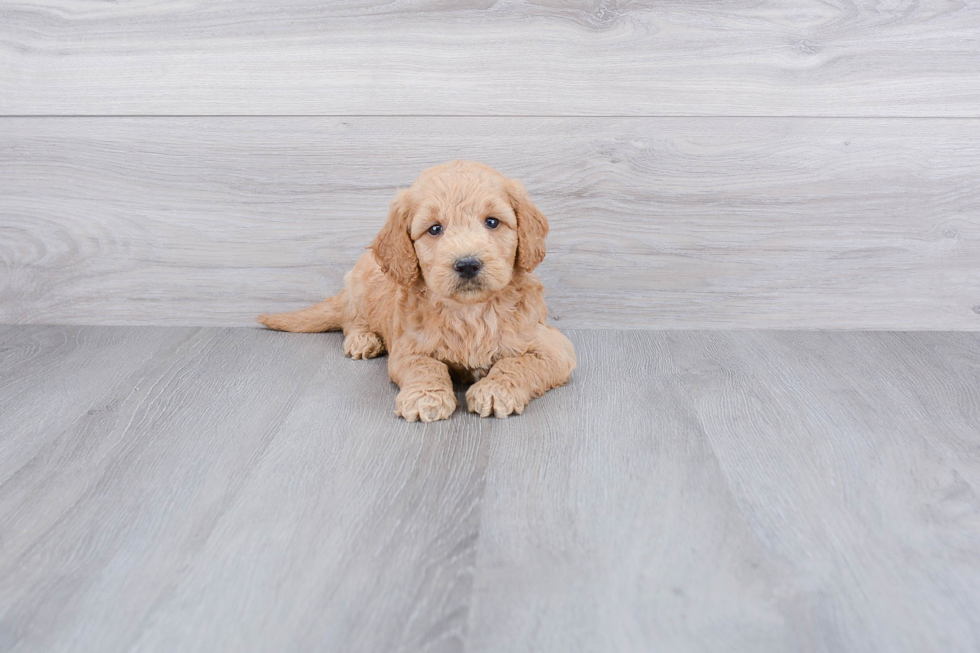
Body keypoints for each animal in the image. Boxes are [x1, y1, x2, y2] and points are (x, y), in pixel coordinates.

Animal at [258, 160, 576, 420]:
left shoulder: (554, 348)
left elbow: (517, 364)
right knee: (351, 319)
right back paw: (363, 339)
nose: (468, 264)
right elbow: (425, 367)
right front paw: (426, 398)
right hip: (359, 286)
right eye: (434, 229)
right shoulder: (408, 348)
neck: (469, 312)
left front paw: (495, 390)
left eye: (492, 222)